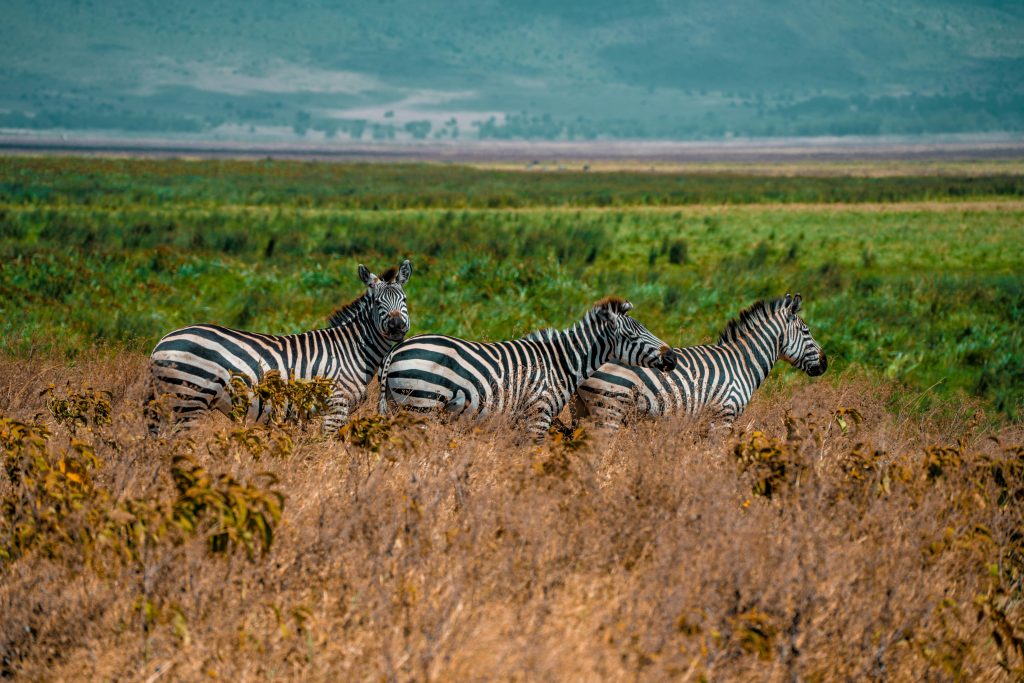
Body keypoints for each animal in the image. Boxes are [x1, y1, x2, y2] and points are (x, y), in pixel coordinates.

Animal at [145, 260, 412, 435]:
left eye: (405, 300)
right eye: (377, 303)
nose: (397, 326)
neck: (351, 349)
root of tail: (161, 343)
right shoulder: (335, 406)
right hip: (190, 398)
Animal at [377, 297, 677, 442]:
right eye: (635, 336)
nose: (672, 357)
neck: (562, 362)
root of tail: (396, 351)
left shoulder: (520, 421)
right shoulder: (538, 415)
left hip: (398, 405)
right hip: (422, 405)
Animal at [572, 294, 827, 431]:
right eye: (806, 331)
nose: (825, 364)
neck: (743, 362)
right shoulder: (724, 416)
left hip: (583, 411)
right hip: (609, 409)